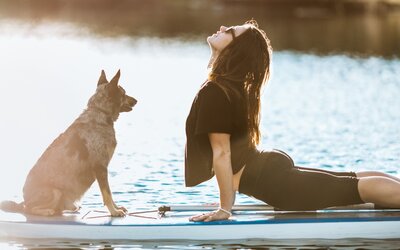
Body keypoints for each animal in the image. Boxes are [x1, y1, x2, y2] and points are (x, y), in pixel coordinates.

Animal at [0, 69, 137, 216]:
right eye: (123, 93)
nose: (136, 100)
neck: (100, 111)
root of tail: (24, 200)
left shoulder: (102, 169)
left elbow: (109, 194)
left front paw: (117, 208)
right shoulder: (100, 167)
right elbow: (107, 194)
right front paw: (114, 211)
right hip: (55, 192)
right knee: (29, 209)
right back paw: (47, 211)